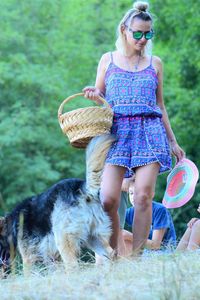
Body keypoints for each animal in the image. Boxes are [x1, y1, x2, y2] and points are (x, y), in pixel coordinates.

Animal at [0, 135, 115, 276]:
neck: (12, 222)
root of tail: (82, 188)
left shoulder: (28, 258)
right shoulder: (51, 258)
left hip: (64, 240)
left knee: (73, 265)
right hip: (94, 237)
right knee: (110, 254)